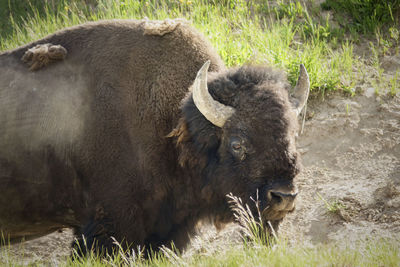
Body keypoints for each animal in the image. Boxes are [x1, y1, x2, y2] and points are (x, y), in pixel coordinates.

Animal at [0, 19, 310, 255]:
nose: (284, 197)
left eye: (293, 136)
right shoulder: (109, 227)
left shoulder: (164, 232)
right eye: (237, 143)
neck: (175, 124)